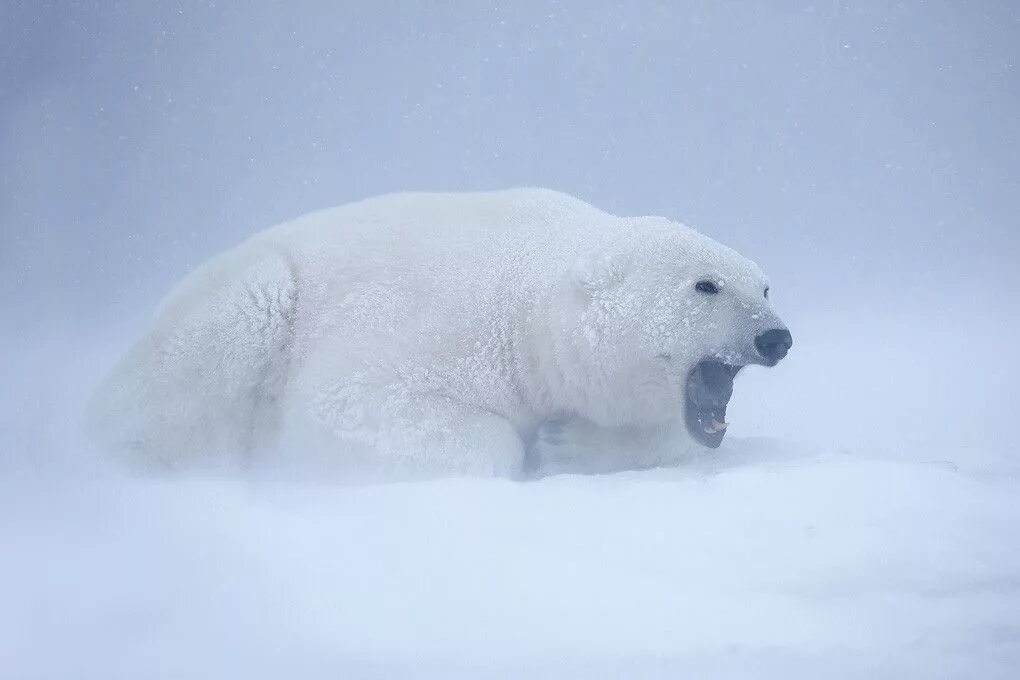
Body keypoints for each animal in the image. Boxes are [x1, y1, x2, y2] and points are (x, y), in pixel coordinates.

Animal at [85, 187, 787, 479]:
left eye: (763, 287)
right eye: (706, 285)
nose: (775, 338)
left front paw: (566, 444)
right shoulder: (438, 326)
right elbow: (341, 400)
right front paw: (528, 450)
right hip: (235, 310)